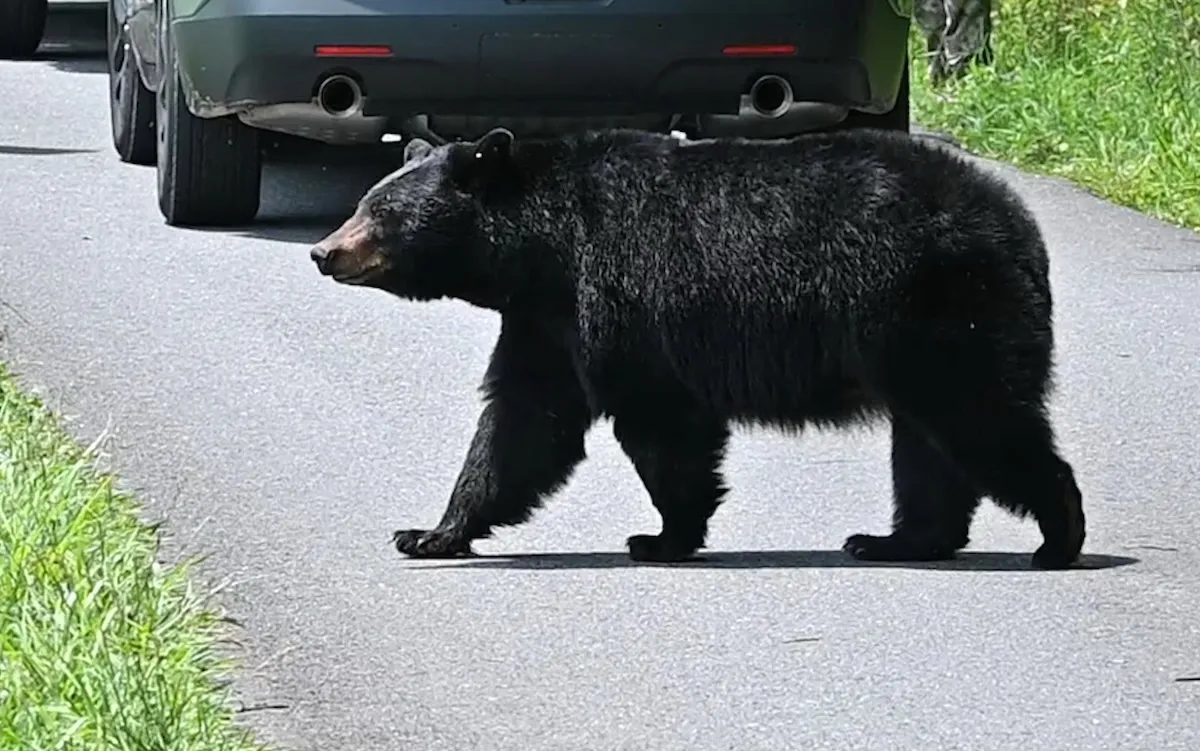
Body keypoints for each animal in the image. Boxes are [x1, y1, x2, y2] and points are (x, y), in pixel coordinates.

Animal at [309, 125, 1086, 570]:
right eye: (364, 201)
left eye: (382, 211)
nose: (322, 252)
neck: (540, 247)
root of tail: (1020, 226)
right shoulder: (546, 321)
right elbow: (523, 423)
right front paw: (429, 533)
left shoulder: (624, 298)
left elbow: (657, 424)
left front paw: (662, 537)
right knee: (928, 445)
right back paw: (896, 539)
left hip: (939, 309)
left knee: (979, 419)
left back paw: (1059, 536)